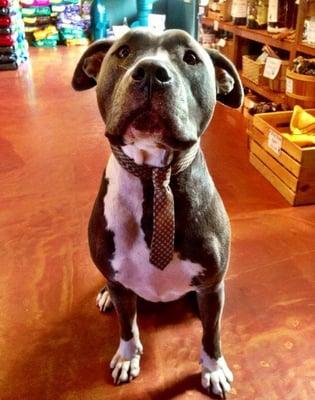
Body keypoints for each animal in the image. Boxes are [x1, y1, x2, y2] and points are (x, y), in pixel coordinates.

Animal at [72, 27, 244, 396]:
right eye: (123, 52)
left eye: (191, 57)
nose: (151, 71)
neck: (154, 178)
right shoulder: (121, 284)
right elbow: (127, 326)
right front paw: (127, 356)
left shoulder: (212, 288)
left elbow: (211, 334)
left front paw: (213, 369)